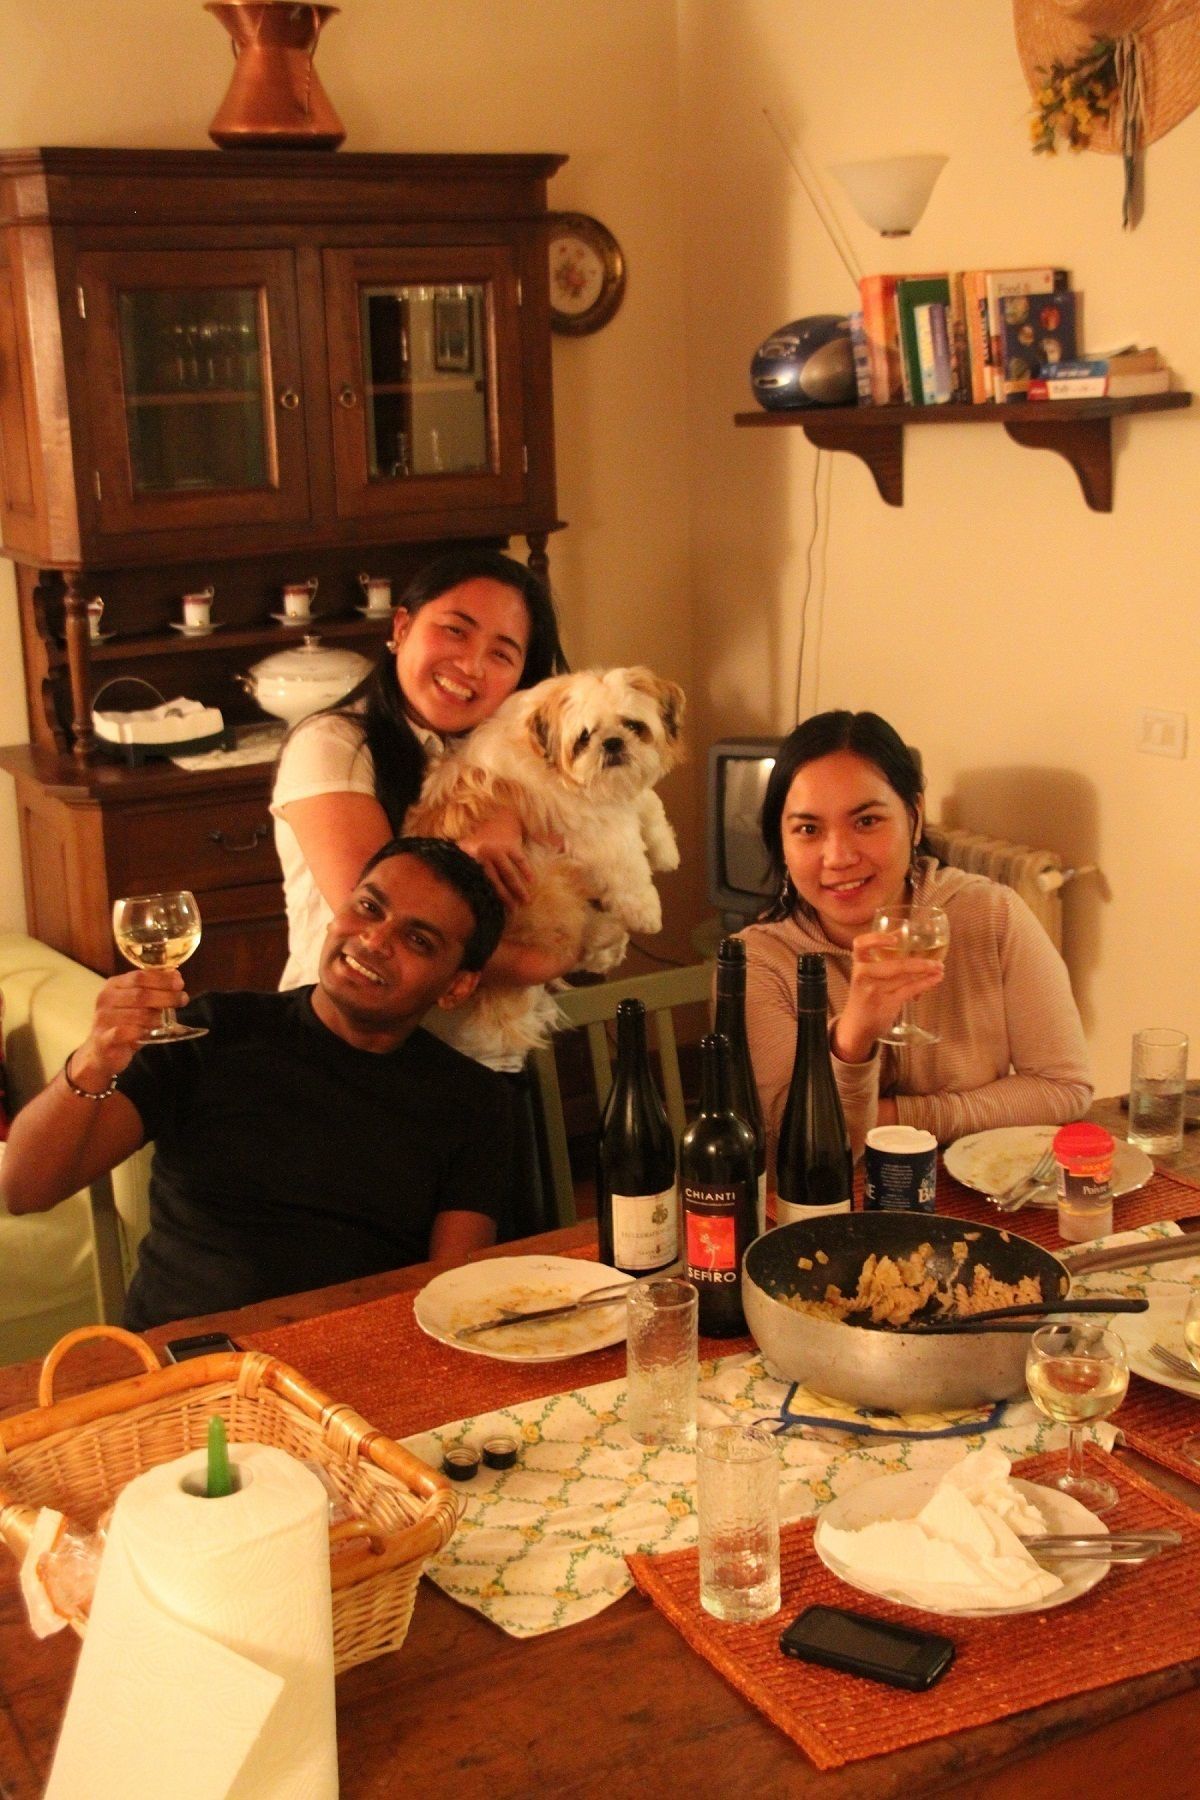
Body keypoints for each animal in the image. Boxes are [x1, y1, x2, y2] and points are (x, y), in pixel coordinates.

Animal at [407, 665, 685, 1061]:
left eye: (633, 725)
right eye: (584, 738)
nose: (613, 743)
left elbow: (648, 801)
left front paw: (664, 849)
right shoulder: (594, 825)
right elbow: (627, 860)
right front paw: (645, 909)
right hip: (548, 887)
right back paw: (609, 933)